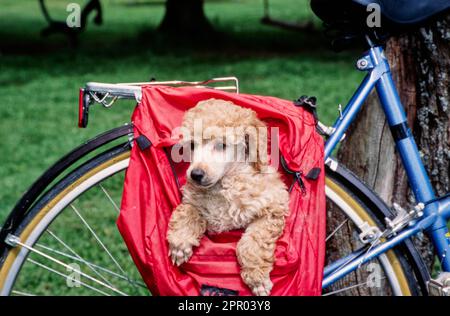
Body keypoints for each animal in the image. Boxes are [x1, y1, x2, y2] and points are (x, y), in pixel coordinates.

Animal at [167, 99, 290, 296]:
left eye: (221, 145)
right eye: (191, 145)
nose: (196, 175)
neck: (223, 185)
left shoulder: (274, 205)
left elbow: (253, 241)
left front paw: (257, 278)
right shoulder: (192, 197)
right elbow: (187, 209)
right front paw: (180, 243)